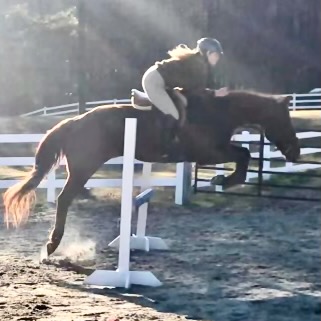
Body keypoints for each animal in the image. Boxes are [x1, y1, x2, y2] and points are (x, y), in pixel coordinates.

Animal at [2, 86, 298, 256]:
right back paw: (53, 244)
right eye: (285, 119)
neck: (219, 113)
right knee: (64, 200)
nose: (295, 152)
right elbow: (243, 155)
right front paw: (223, 179)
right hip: (84, 168)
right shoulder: (208, 153)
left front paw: (223, 180)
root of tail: (74, 121)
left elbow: (243, 155)